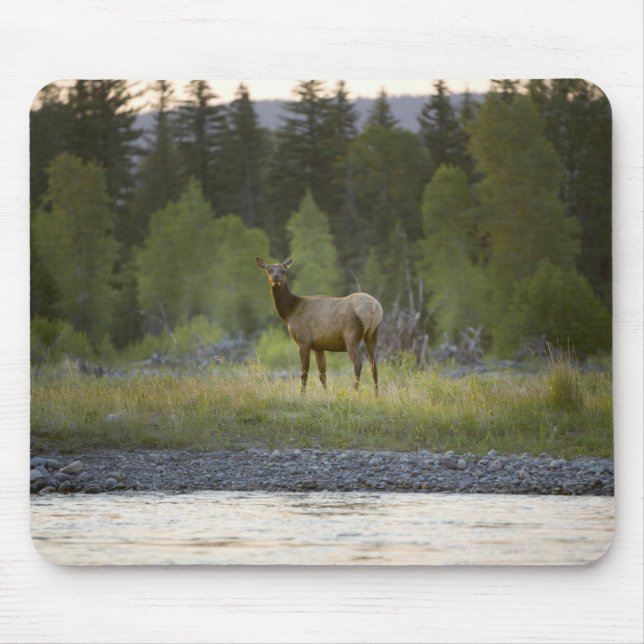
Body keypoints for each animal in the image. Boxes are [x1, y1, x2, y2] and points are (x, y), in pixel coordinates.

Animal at [255, 256, 383, 396]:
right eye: (269, 269)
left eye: (284, 270)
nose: (276, 277)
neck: (289, 312)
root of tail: (372, 306)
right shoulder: (319, 347)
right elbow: (322, 375)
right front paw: (327, 394)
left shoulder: (304, 341)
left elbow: (304, 373)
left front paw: (302, 396)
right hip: (373, 333)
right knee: (374, 366)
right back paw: (376, 395)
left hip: (352, 335)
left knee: (358, 364)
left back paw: (354, 391)